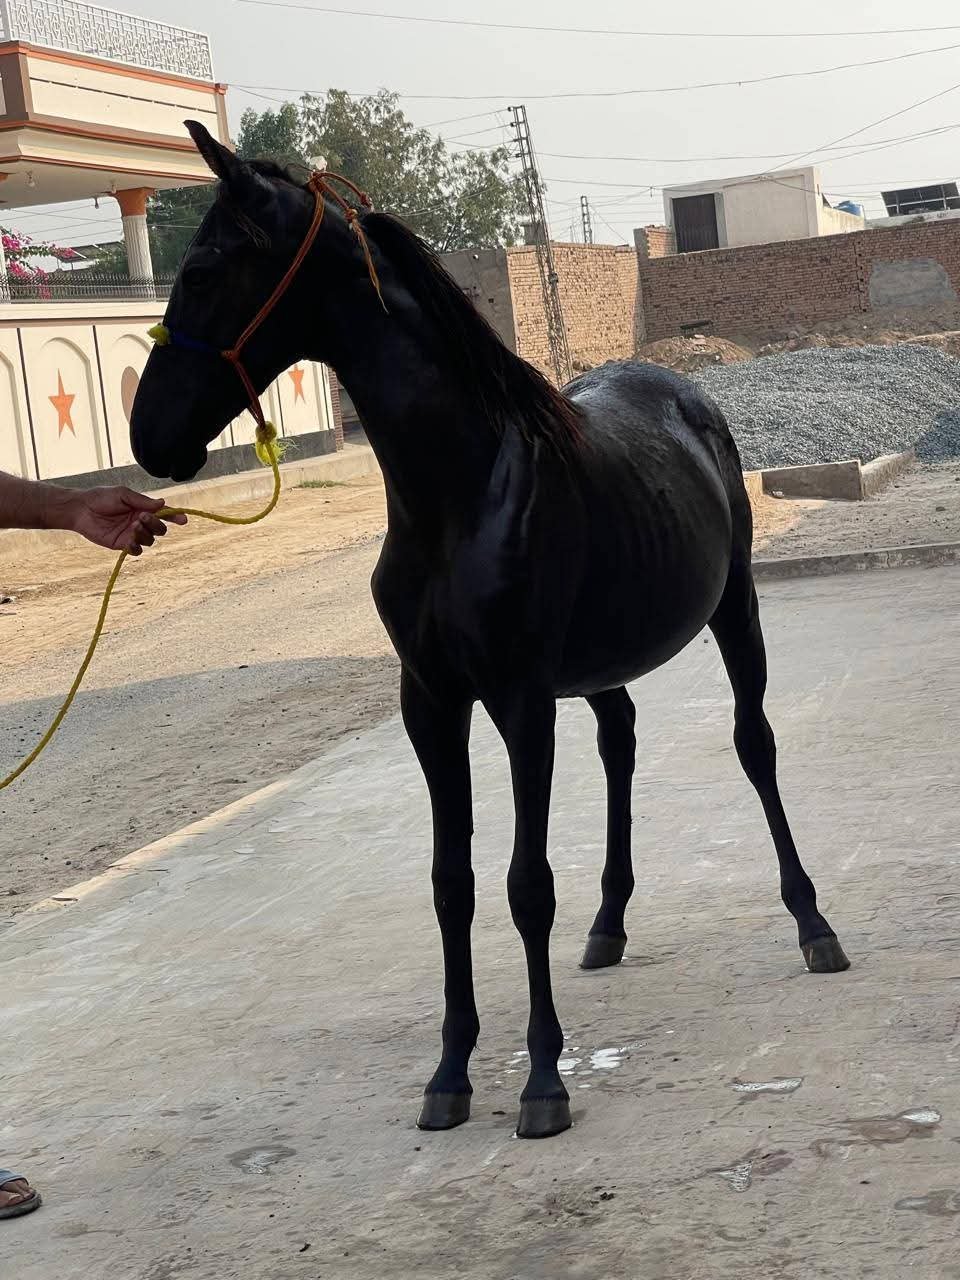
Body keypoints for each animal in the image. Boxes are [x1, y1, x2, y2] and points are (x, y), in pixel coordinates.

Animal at [131, 121, 849, 1141]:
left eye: (203, 267)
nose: (148, 438)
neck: (461, 493)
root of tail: (684, 390)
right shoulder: (432, 704)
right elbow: (452, 884)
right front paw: (450, 1070)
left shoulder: (518, 704)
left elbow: (525, 884)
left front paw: (543, 1078)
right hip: (597, 667)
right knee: (621, 743)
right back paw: (609, 926)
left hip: (733, 611)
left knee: (756, 745)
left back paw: (814, 925)